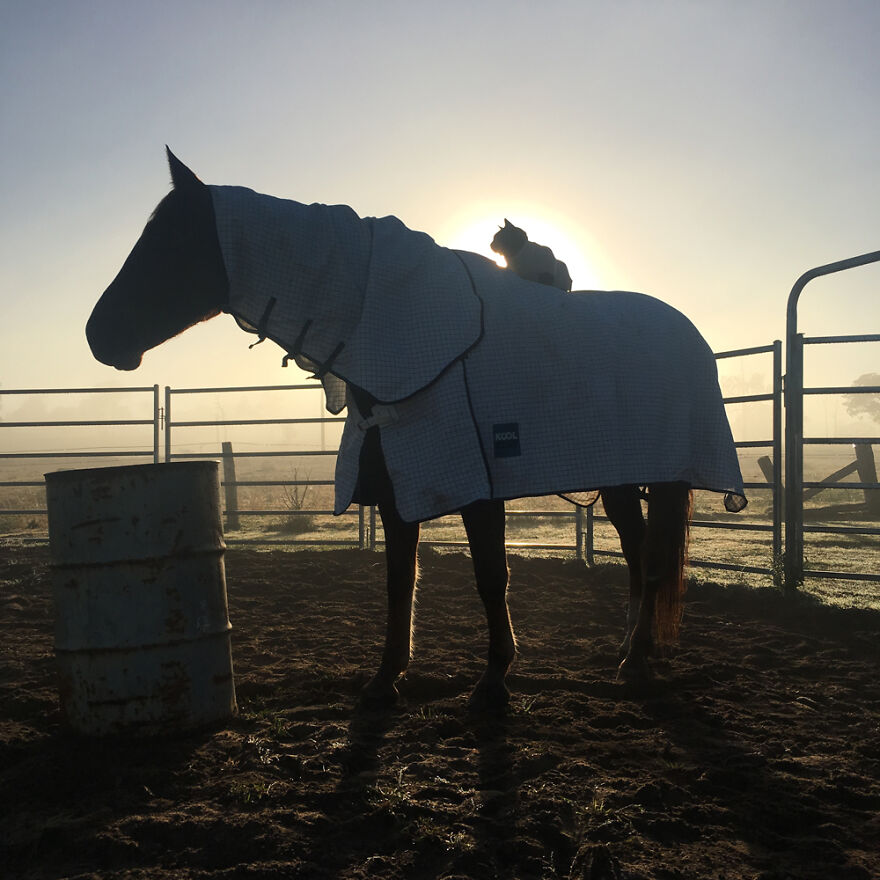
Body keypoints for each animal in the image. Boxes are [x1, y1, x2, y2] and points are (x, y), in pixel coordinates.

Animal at [87, 149, 737, 711]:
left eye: (171, 242)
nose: (98, 334)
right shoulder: (396, 492)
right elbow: (400, 581)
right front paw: (386, 678)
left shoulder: (476, 490)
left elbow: (490, 577)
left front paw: (494, 678)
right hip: (621, 480)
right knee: (637, 551)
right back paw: (632, 650)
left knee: (647, 558)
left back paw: (635, 660)